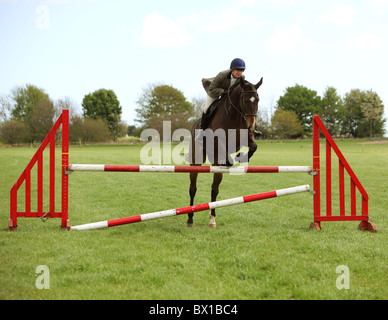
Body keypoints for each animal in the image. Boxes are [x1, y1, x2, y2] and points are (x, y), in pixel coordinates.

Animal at [186, 77, 264, 228]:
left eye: (257, 99)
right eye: (245, 100)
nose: (252, 127)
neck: (234, 116)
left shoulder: (244, 138)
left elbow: (253, 146)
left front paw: (241, 157)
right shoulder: (218, 139)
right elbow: (223, 147)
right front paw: (232, 159)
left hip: (216, 167)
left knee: (214, 189)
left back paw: (212, 219)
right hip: (196, 162)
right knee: (193, 188)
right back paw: (190, 219)